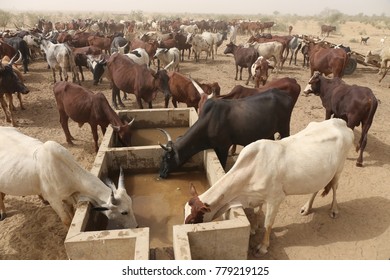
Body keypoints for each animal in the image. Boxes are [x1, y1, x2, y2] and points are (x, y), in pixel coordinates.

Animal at [0, 126, 138, 229]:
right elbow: (66, 220)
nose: (136, 226)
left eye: (132, 205)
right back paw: (3, 213)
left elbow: (71, 214)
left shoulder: (67, 197)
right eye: (124, 212)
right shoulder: (54, 200)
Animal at [158, 88, 296, 178]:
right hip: (269, 132)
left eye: (167, 158)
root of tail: (286, 95)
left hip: (284, 128)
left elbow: (223, 165)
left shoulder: (224, 146)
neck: (209, 121)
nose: (161, 174)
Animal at [185, 118, 354, 256]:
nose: (185, 225)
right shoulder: (256, 196)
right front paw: (254, 227)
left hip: (339, 169)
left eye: (193, 220)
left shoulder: (276, 198)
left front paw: (262, 246)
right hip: (320, 174)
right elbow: (256, 212)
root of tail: (341, 122)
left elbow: (268, 224)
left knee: (335, 187)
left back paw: (334, 209)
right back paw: (306, 208)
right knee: (317, 187)